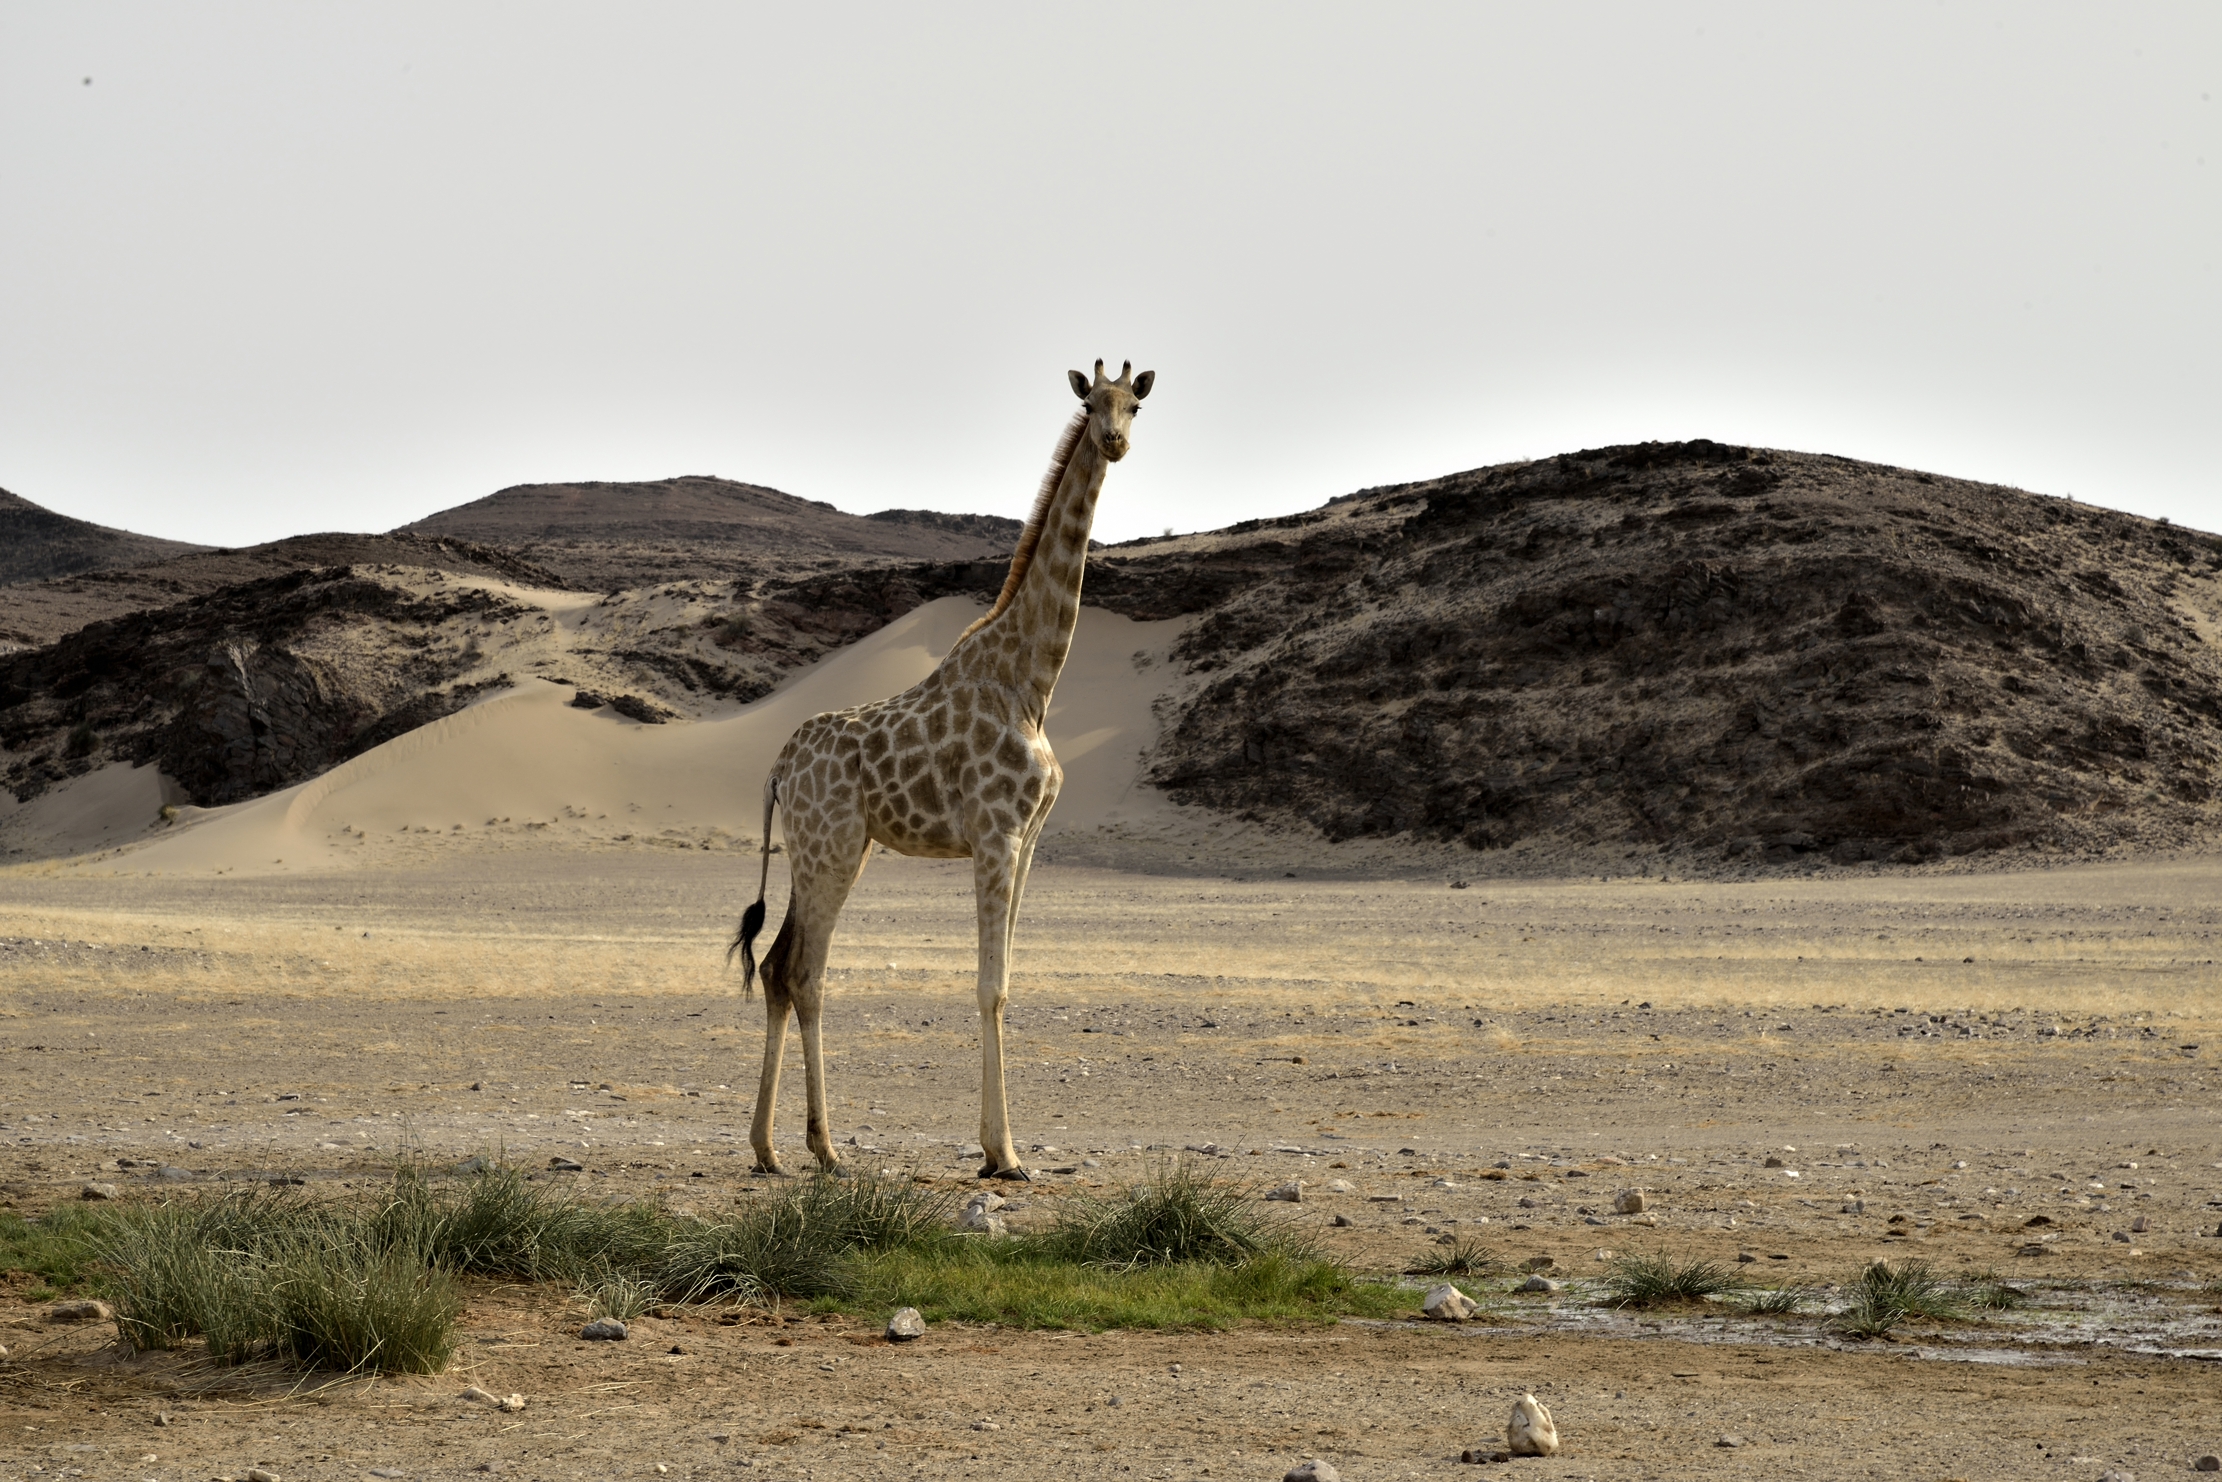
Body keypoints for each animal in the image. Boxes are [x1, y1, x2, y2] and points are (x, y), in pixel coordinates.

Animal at [728, 359, 1155, 1180]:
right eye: (1090, 402)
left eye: (1137, 405)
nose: (1114, 441)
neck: (1032, 681)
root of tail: (774, 770)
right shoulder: (994, 833)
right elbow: (990, 987)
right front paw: (1003, 1154)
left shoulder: (1029, 840)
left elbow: (1008, 980)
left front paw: (1002, 1150)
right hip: (831, 847)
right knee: (804, 972)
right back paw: (825, 1148)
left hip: (826, 848)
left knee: (776, 966)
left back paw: (768, 1149)